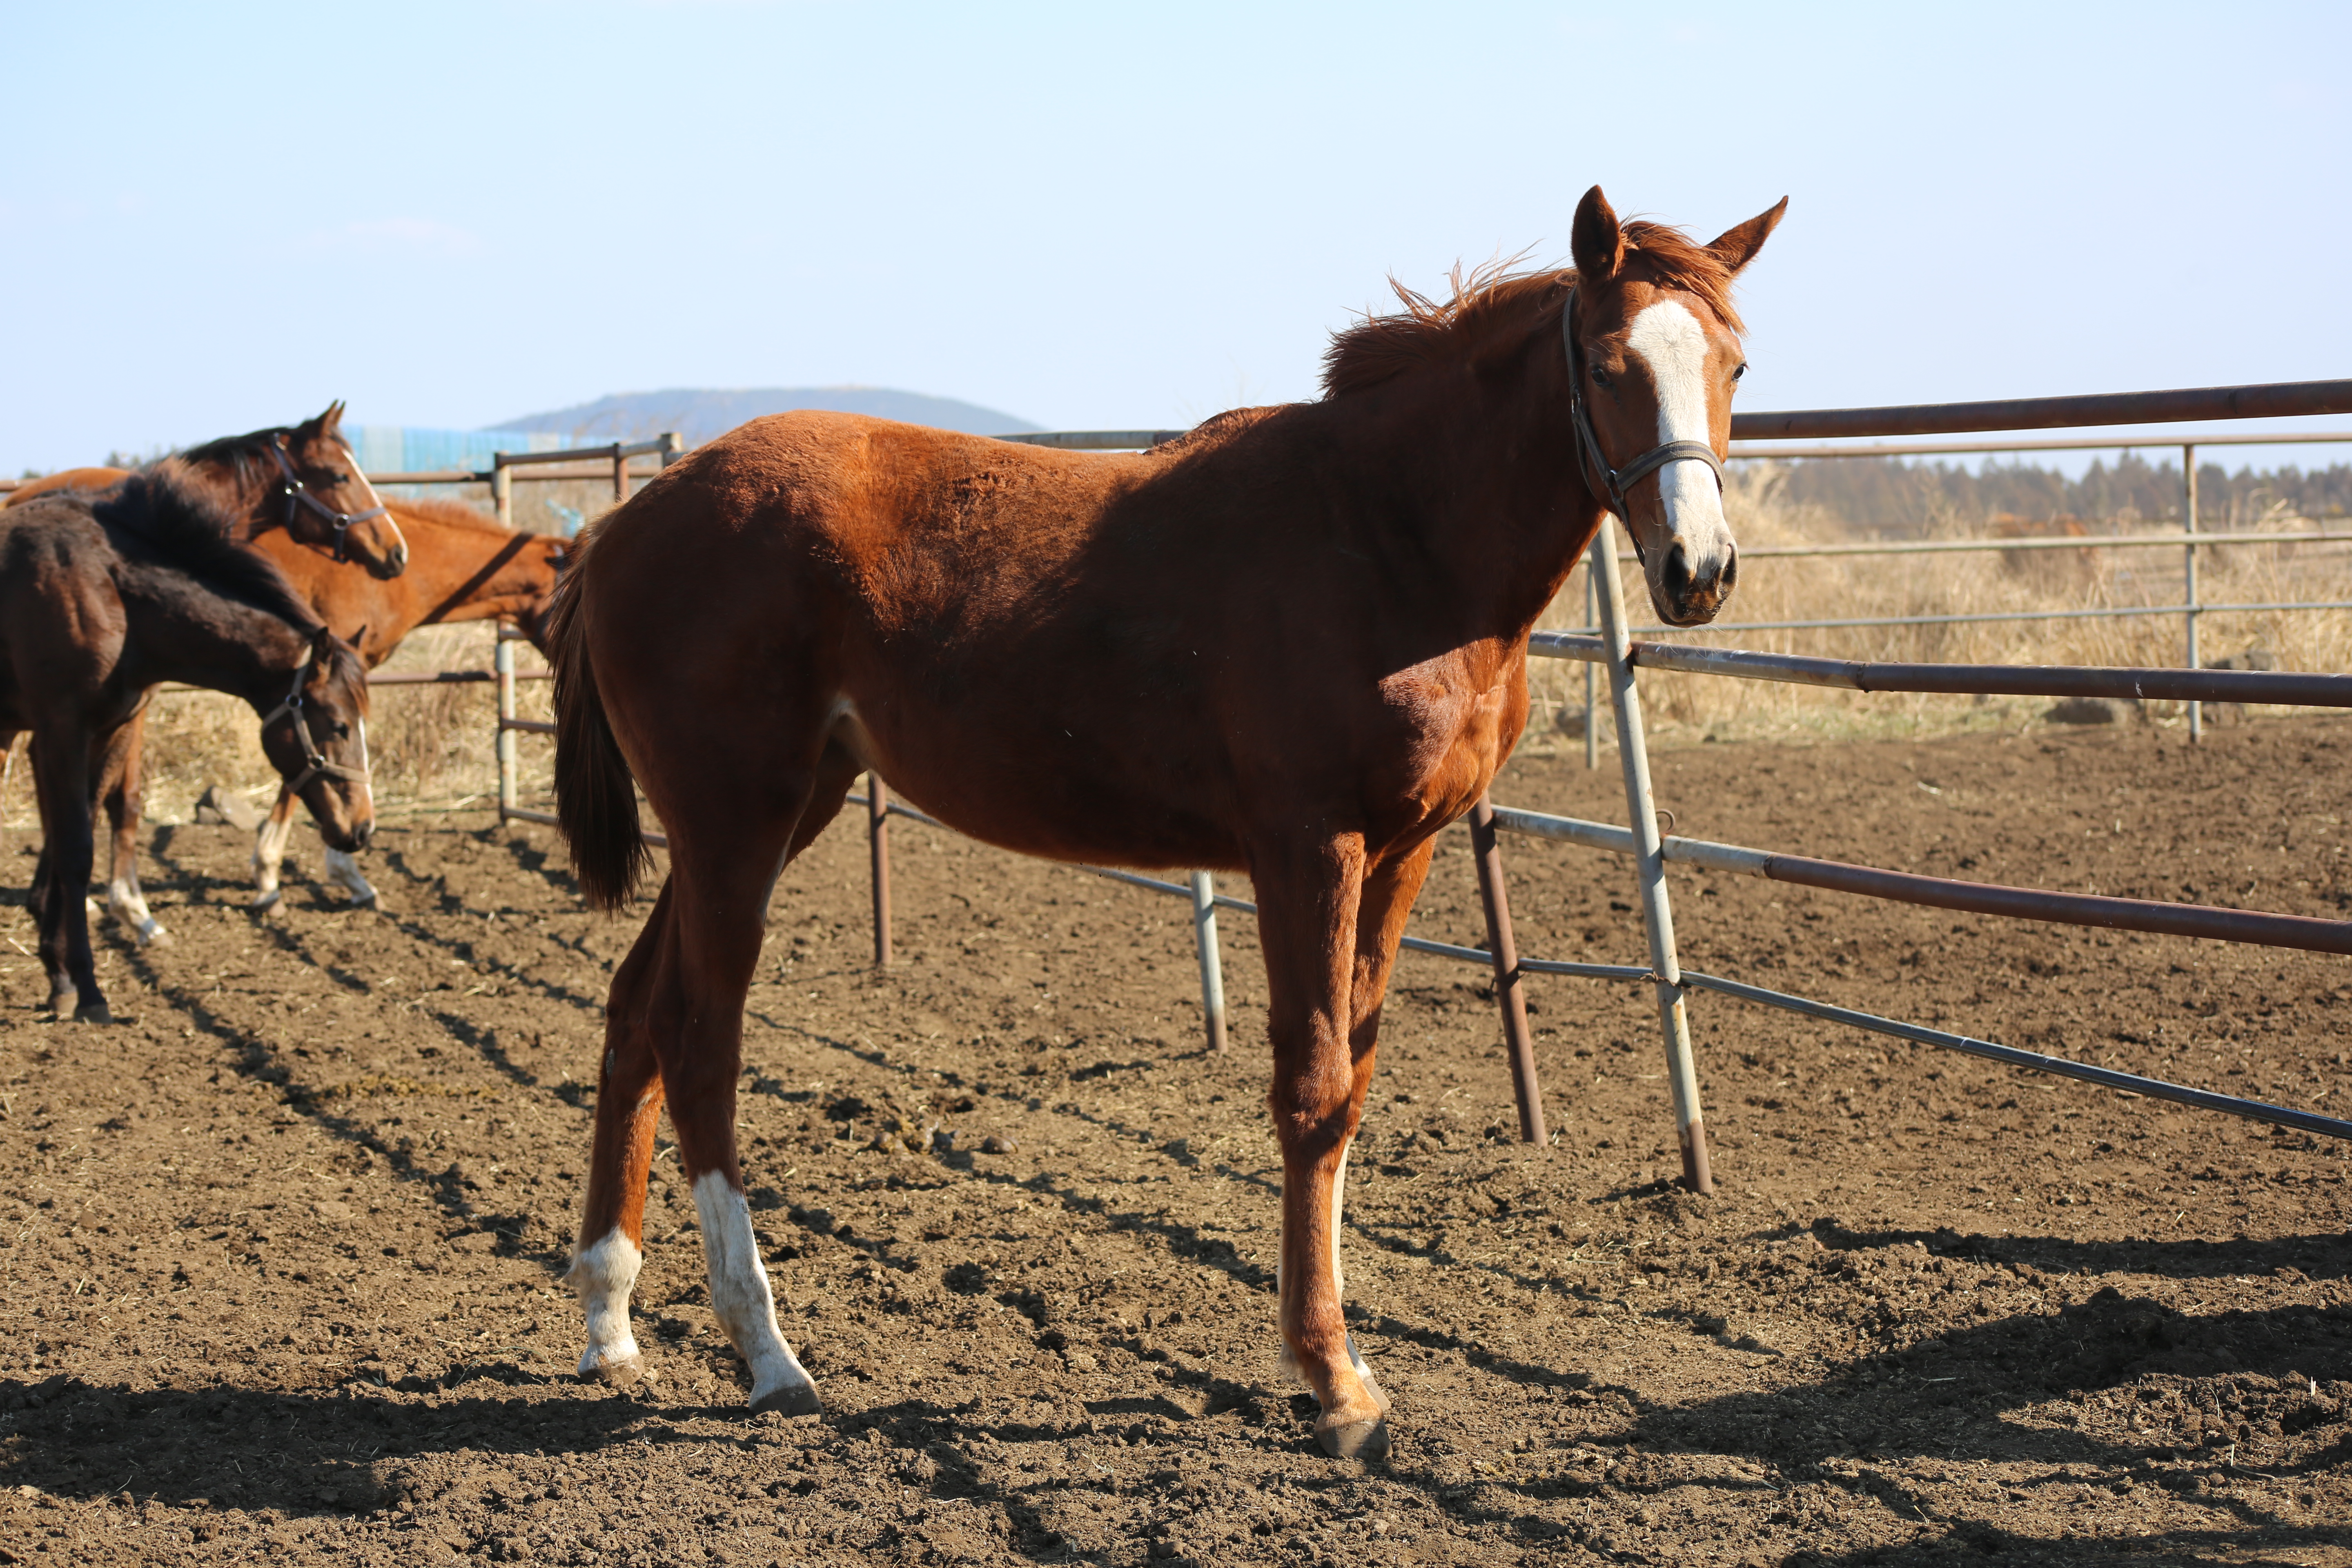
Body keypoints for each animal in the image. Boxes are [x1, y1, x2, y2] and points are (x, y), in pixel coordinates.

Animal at [0, 465, 372, 1029]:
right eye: (339, 725)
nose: (362, 828)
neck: (105, 587)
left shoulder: (110, 729)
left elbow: (75, 835)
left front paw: (59, 978)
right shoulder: (62, 729)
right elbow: (76, 852)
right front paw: (88, 989)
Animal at [539, 187, 1778, 1457]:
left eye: (1731, 365)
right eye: (1608, 363)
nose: (1698, 570)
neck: (1386, 536)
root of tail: (621, 527)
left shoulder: (1404, 852)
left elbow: (1352, 1086)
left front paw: (1338, 1362)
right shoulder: (1304, 848)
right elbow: (1312, 1091)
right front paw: (1333, 1383)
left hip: (768, 818)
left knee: (637, 1014)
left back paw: (611, 1320)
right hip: (737, 824)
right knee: (701, 1041)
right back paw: (768, 1353)